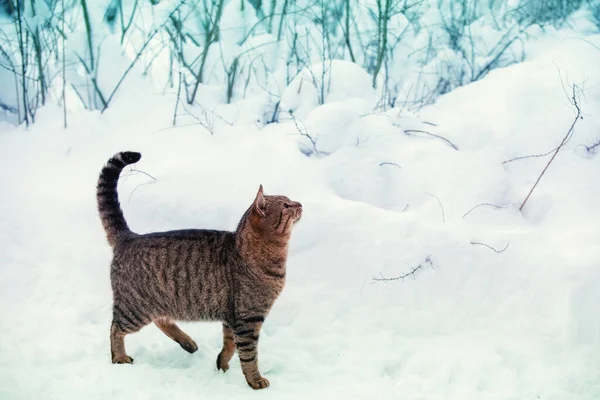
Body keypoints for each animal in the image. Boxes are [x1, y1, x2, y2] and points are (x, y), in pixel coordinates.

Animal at [96, 152, 302, 390]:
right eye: (286, 205)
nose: (300, 203)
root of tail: (129, 237)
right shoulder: (248, 318)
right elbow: (249, 355)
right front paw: (255, 380)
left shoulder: (232, 317)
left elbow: (230, 345)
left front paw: (222, 364)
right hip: (134, 308)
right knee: (115, 328)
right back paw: (119, 357)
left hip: (158, 300)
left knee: (161, 319)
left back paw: (188, 343)